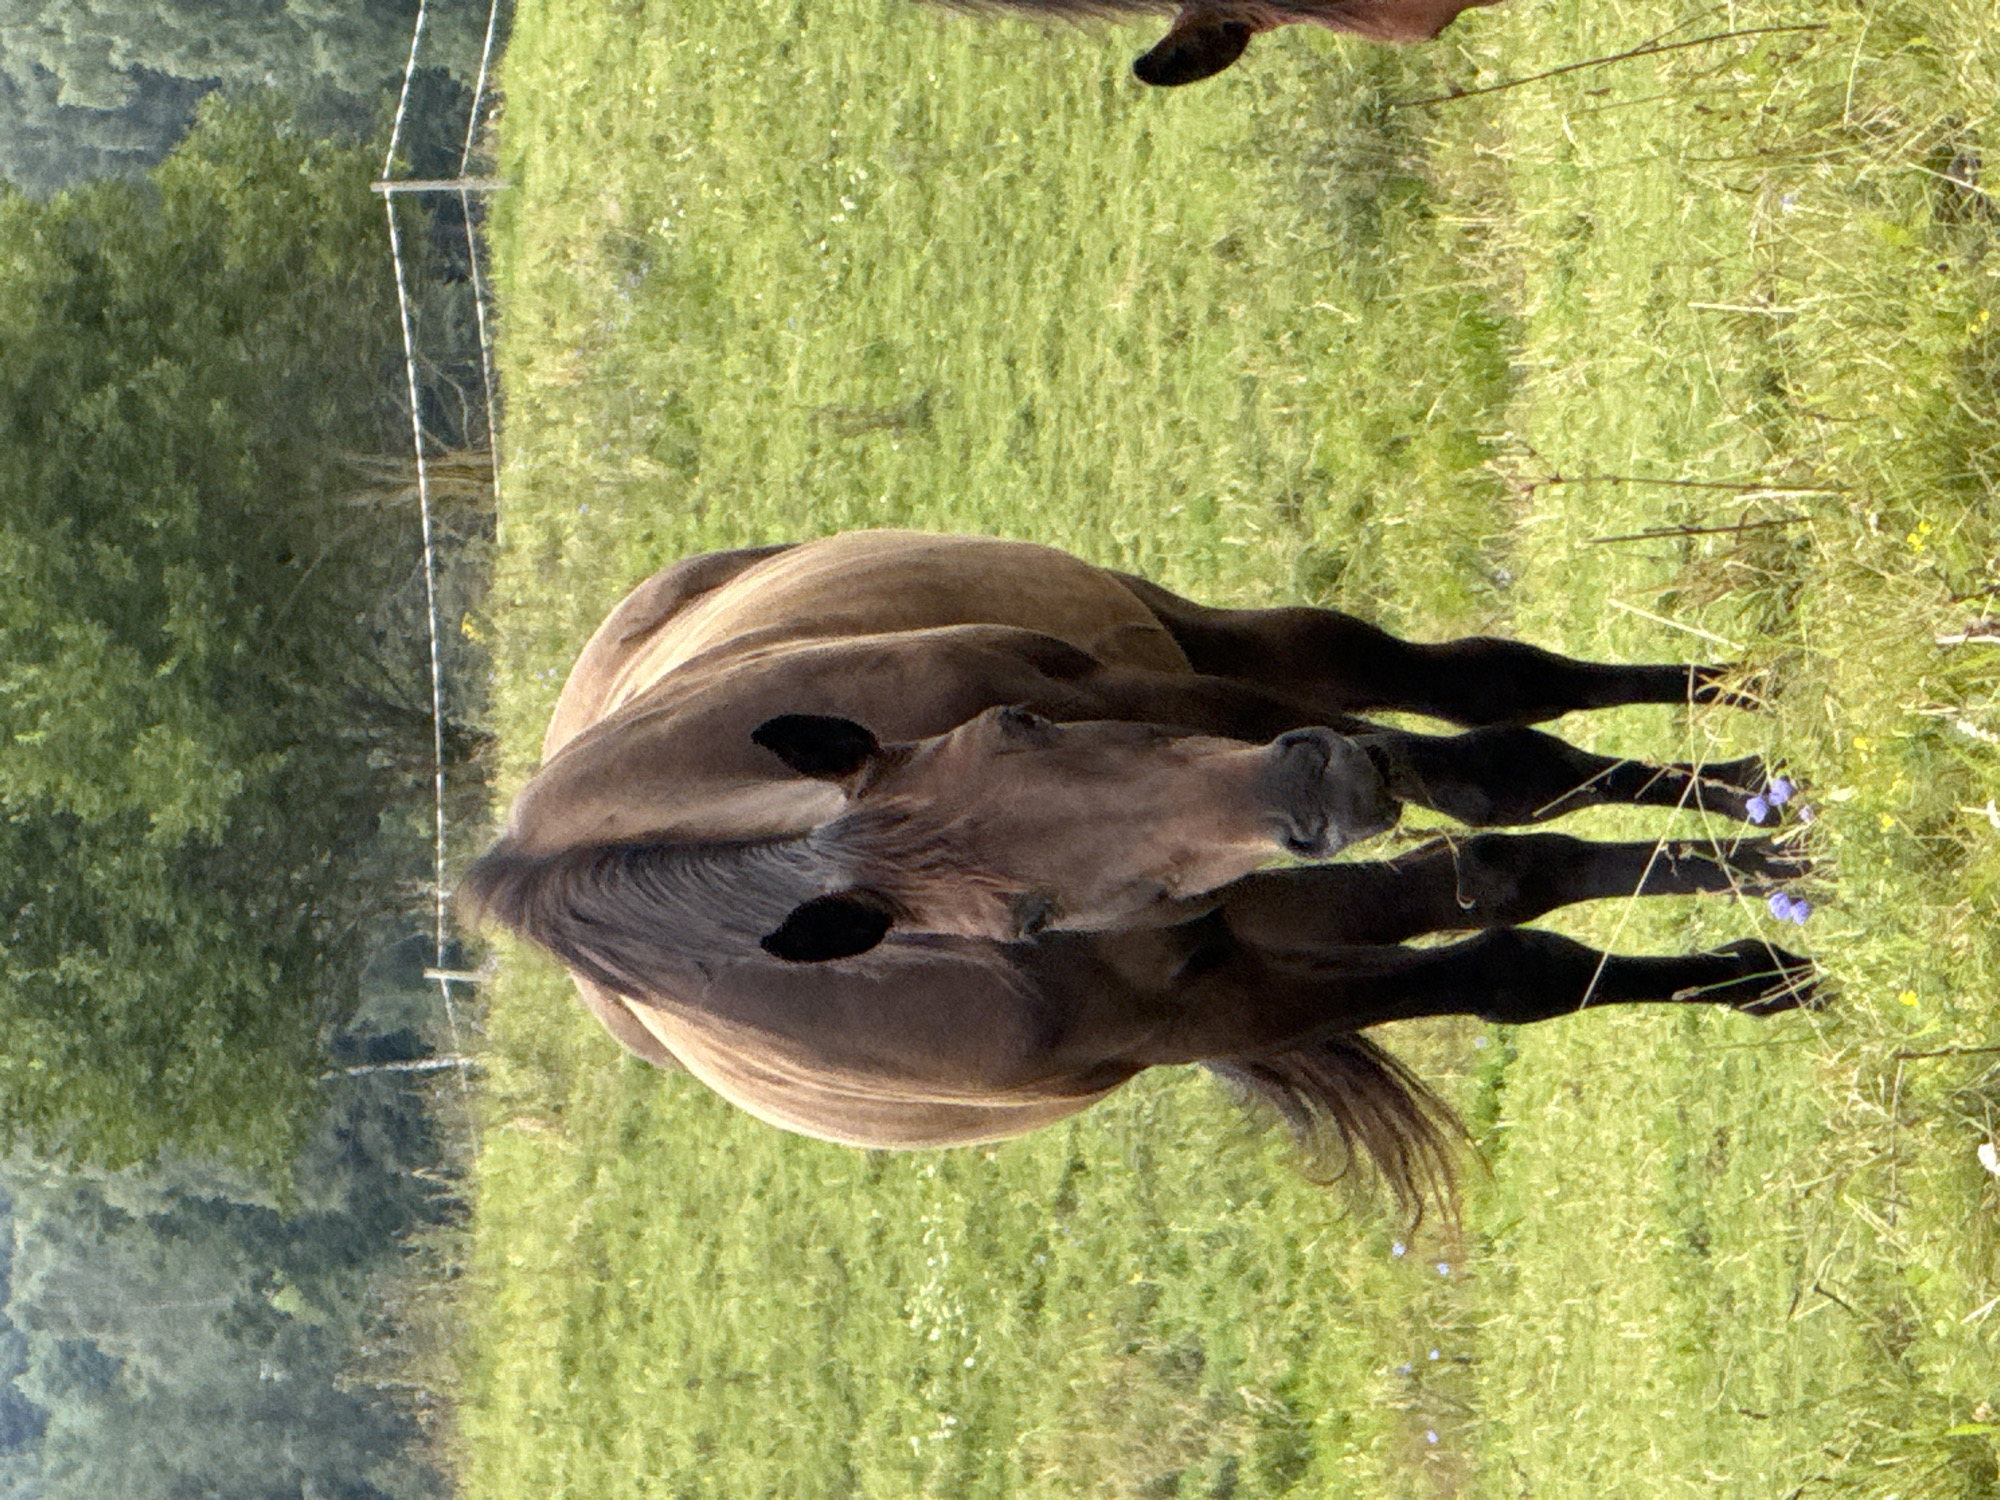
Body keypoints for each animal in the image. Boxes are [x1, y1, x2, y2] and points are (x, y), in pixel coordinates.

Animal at [464, 530, 1816, 1208]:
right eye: (1025, 916)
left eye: (1026, 724)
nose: (1318, 791)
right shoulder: (1239, 988)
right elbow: (1508, 938)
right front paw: (1755, 938)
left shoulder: (1199, 713)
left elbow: (1501, 777)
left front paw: (1760, 829)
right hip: (1267, 900)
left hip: (1213, 652)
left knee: (1485, 683)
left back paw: (1738, 691)